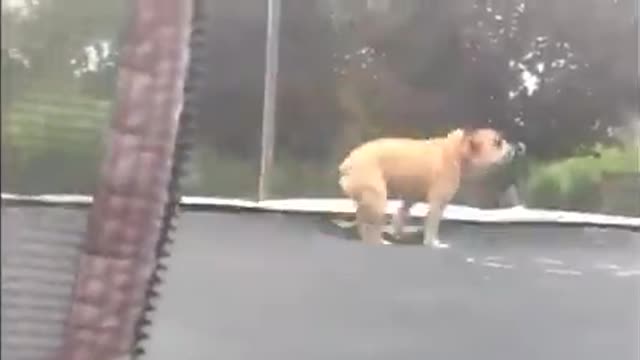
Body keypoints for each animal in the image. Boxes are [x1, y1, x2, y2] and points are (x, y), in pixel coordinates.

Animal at [338, 128, 524, 249]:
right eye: (498, 143)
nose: (516, 146)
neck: (457, 150)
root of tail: (347, 164)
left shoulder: (411, 195)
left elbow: (403, 211)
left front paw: (399, 230)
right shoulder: (439, 198)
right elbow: (433, 220)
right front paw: (432, 242)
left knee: (363, 217)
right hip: (374, 191)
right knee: (371, 222)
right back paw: (379, 241)